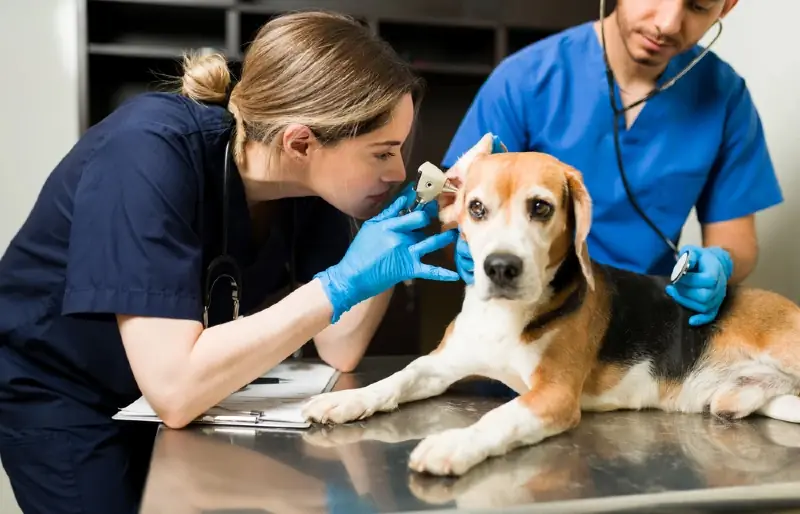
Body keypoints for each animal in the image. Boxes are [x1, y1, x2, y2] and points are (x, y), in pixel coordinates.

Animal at [302, 132, 800, 476]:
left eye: (540, 208)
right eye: (476, 208)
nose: (500, 267)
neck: (504, 319)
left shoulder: (554, 395)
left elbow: (498, 419)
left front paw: (453, 444)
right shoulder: (440, 365)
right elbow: (397, 378)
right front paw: (345, 401)